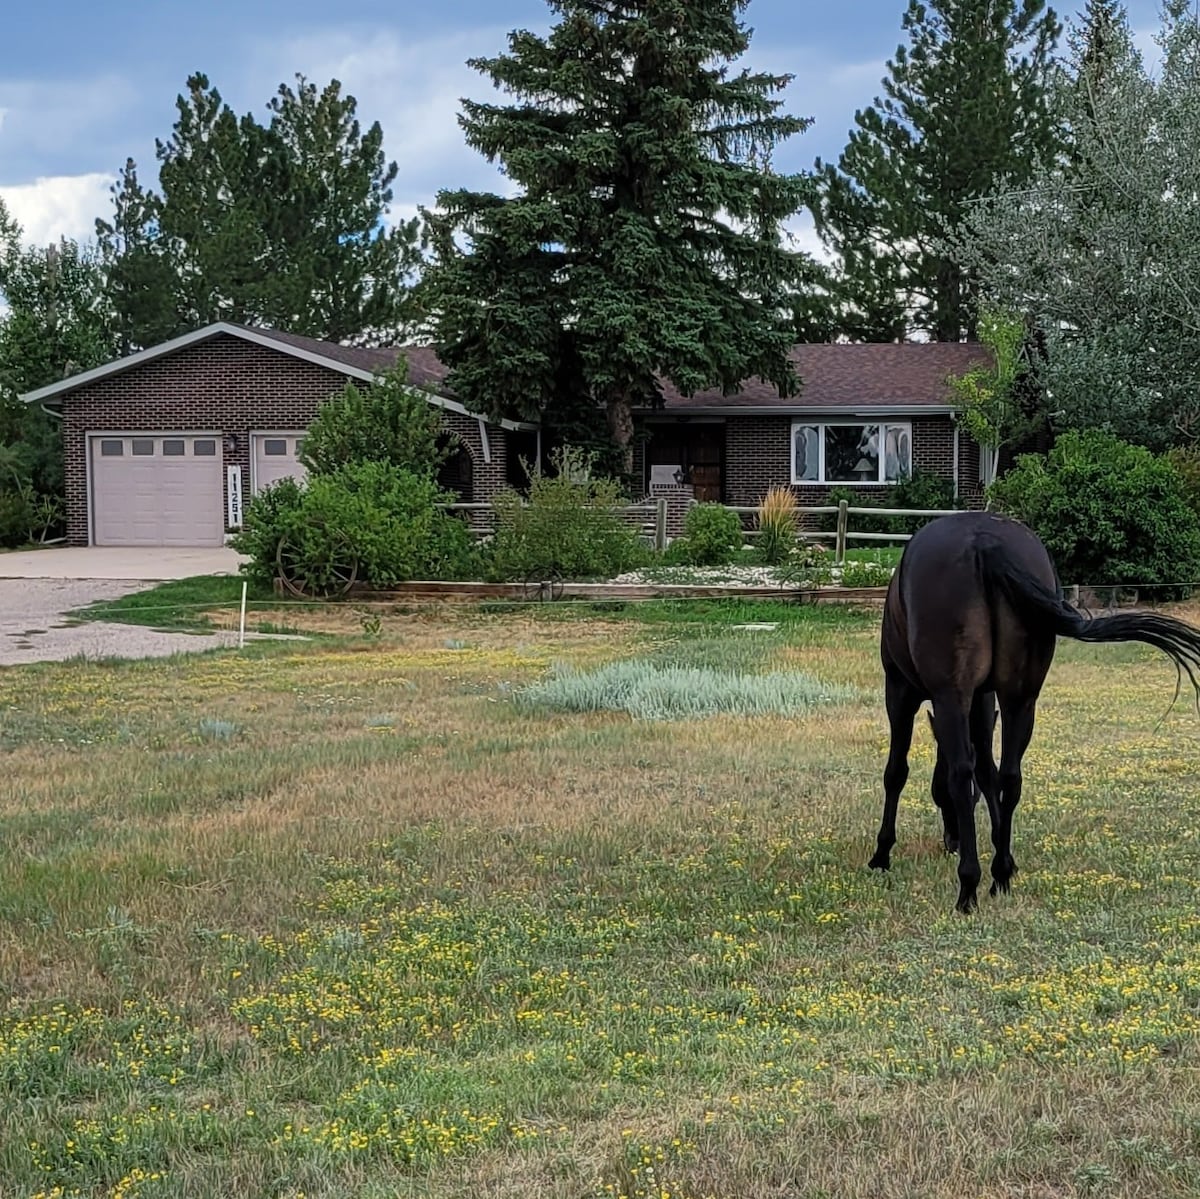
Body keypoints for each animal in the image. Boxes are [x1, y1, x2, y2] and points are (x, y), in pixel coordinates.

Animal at [868, 511, 1200, 912]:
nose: (953, 841)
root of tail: (984, 541)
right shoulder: (984, 699)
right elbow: (988, 773)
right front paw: (1004, 853)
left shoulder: (902, 690)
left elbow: (897, 772)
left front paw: (882, 854)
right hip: (1021, 697)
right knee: (1010, 776)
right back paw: (999, 876)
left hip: (952, 694)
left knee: (961, 775)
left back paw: (968, 887)